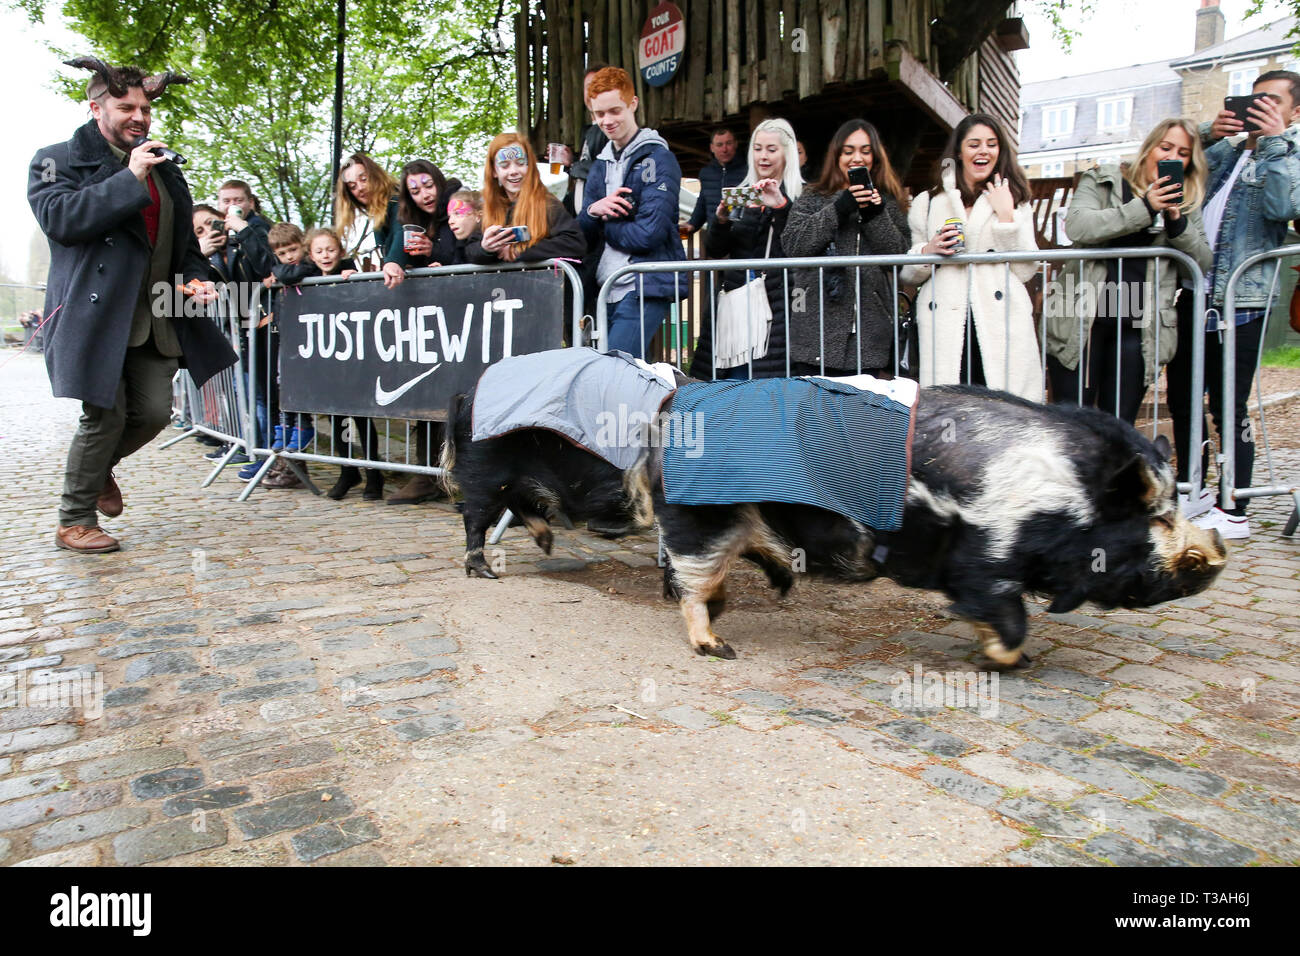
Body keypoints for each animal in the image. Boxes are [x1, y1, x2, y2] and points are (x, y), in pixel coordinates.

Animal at [629, 382, 1227, 665]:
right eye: (1158, 516)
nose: (1216, 554)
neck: (1069, 496)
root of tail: (671, 405)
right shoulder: (986, 557)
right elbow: (1007, 618)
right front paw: (1005, 661)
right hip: (699, 517)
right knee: (692, 582)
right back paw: (719, 647)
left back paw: (764, 595)